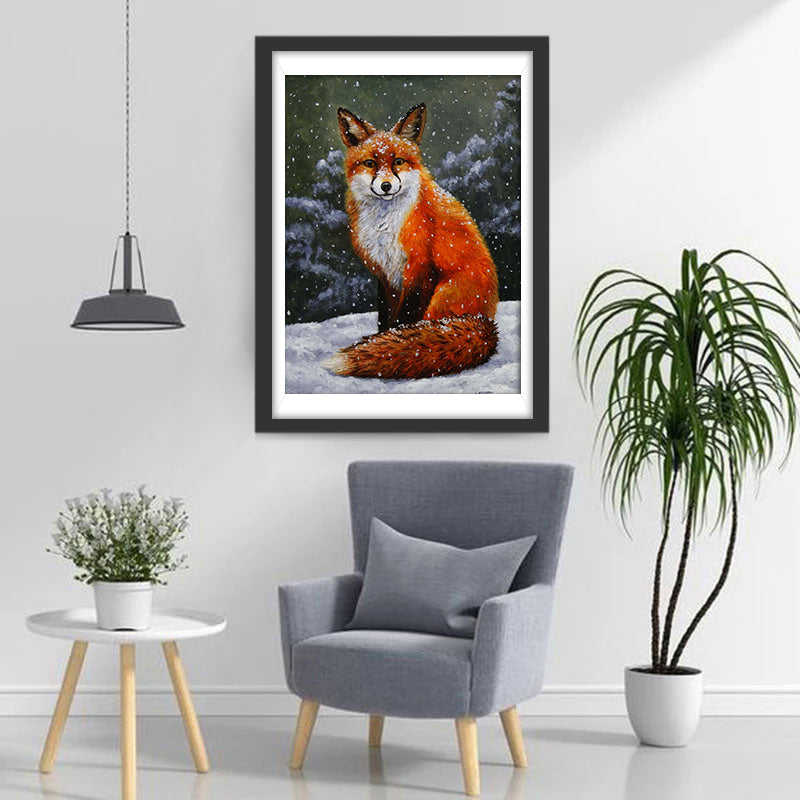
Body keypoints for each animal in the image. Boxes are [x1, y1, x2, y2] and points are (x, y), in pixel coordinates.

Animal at [324, 103, 499, 380]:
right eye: (370, 163)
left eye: (398, 161)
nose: (386, 186)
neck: (385, 225)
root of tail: (487, 323)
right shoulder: (385, 272)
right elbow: (386, 317)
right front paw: (381, 340)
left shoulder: (420, 267)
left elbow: (404, 318)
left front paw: (386, 346)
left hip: (442, 297)